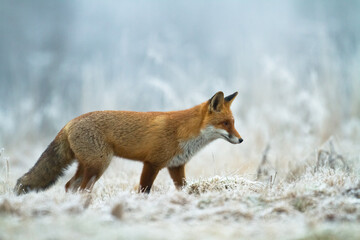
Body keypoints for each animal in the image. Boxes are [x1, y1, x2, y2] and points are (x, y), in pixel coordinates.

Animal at [15, 90, 243, 195]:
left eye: (233, 123)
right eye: (225, 123)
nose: (241, 139)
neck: (185, 132)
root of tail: (70, 122)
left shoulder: (176, 166)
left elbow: (182, 188)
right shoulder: (152, 163)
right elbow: (144, 190)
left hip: (89, 164)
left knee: (70, 185)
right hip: (99, 165)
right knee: (81, 188)